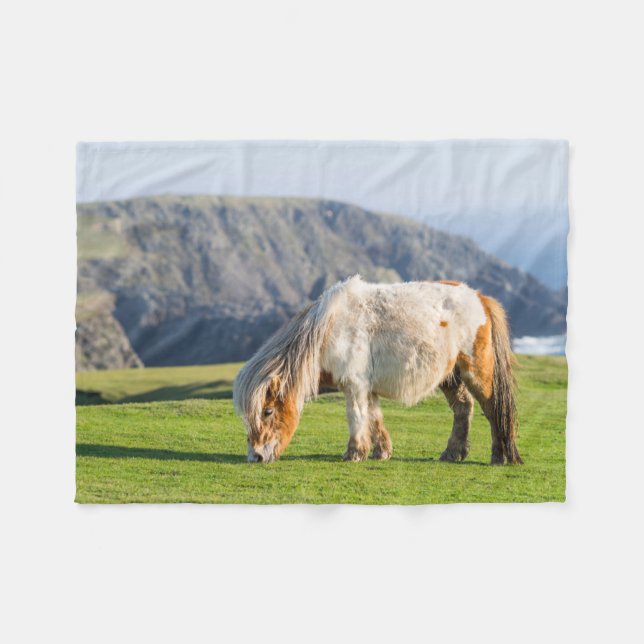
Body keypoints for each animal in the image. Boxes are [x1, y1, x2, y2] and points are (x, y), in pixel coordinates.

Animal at [233, 275, 522, 465]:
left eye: (268, 411)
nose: (255, 456)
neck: (329, 329)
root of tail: (480, 298)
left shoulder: (355, 385)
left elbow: (357, 416)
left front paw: (354, 453)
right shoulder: (366, 387)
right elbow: (374, 418)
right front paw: (381, 452)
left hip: (477, 372)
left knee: (493, 408)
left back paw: (499, 456)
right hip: (450, 377)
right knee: (464, 408)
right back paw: (453, 453)